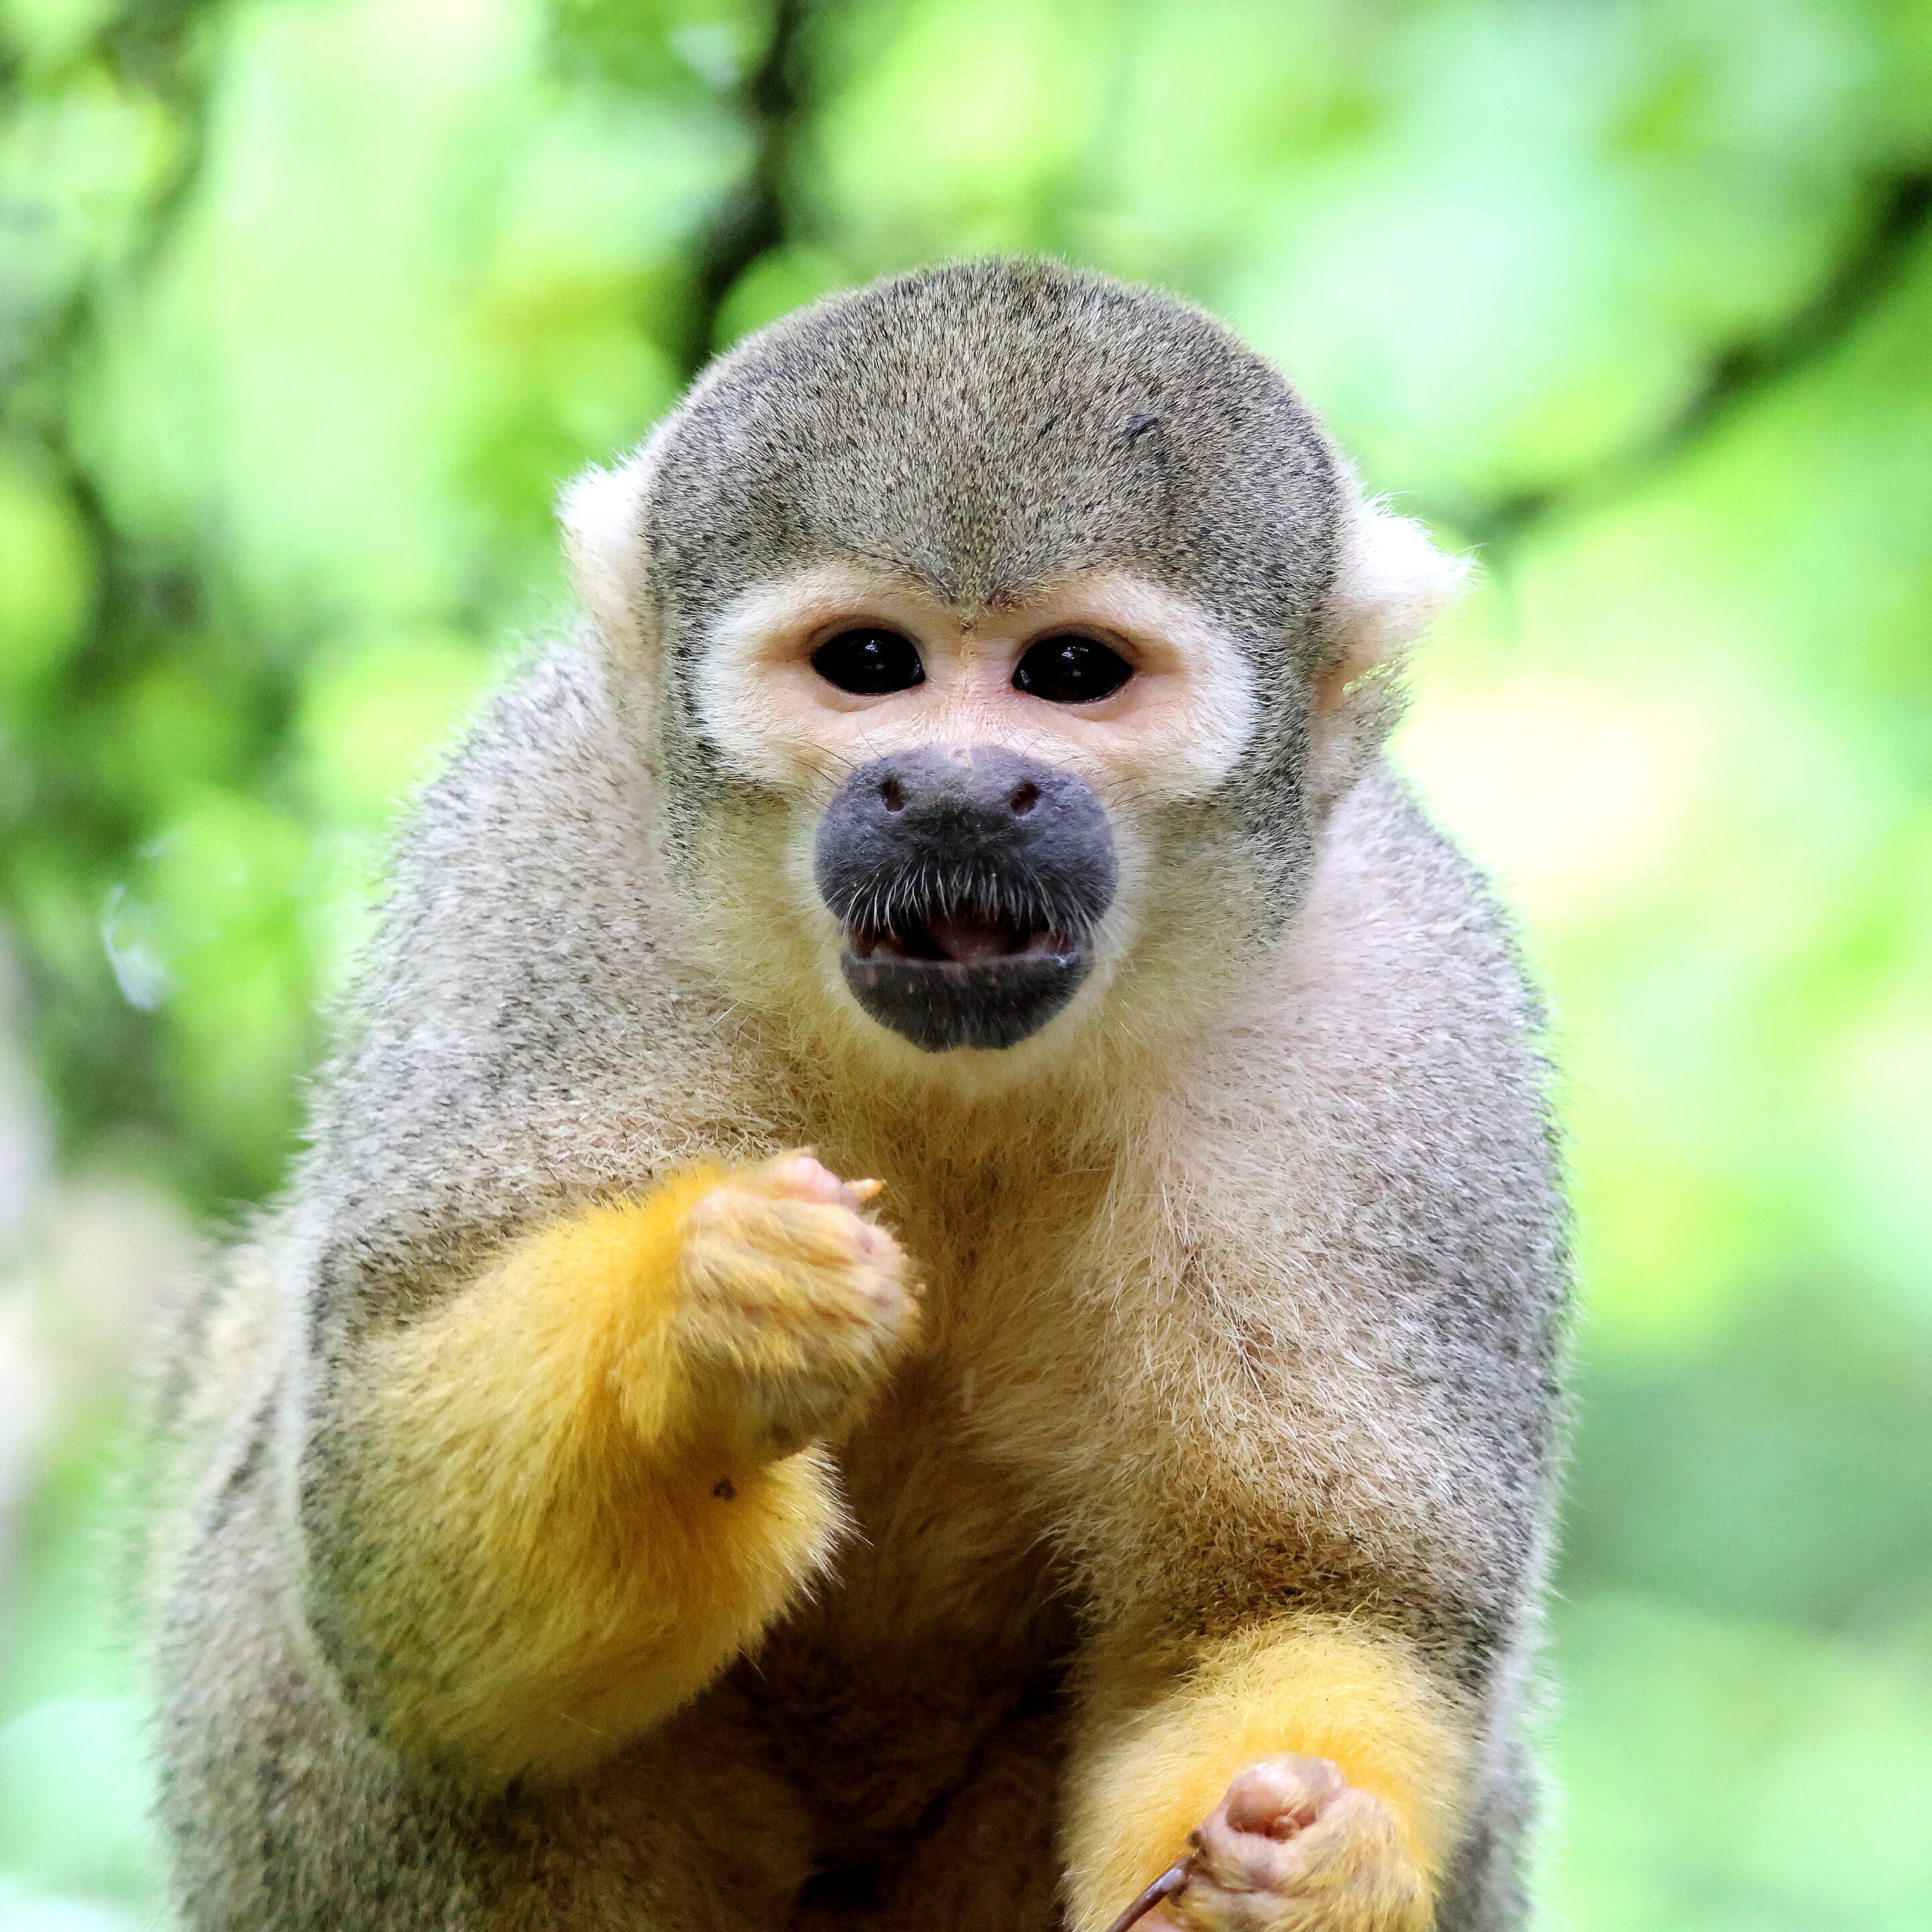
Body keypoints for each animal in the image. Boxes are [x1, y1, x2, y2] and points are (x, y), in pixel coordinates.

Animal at [137, 257, 1567, 1932]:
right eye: (870, 665)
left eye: (1071, 672)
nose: (958, 790)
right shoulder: (533, 861)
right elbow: (378, 1556)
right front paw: (702, 1325)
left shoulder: (1403, 1020)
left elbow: (1303, 1597)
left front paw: (1312, 1867)